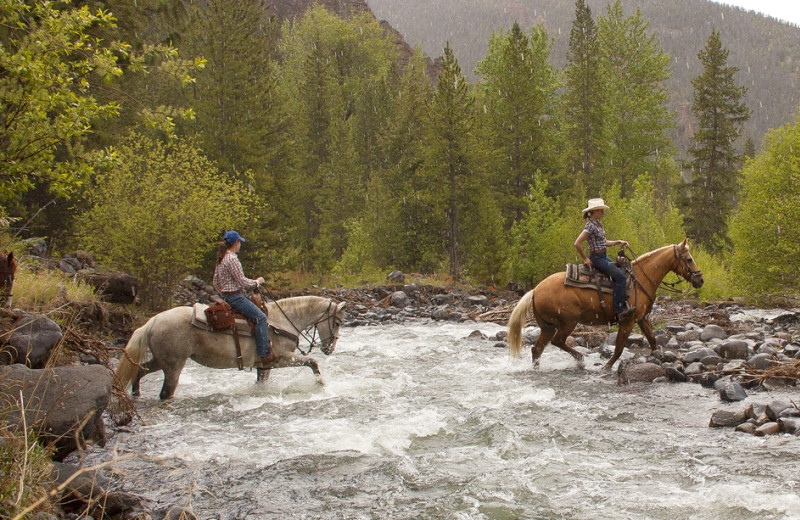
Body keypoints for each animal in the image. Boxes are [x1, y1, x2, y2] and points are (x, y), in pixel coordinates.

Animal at [115, 294, 344, 400]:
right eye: (338, 322)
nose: (329, 349)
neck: (281, 322)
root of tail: (153, 321)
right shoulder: (281, 358)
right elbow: (312, 363)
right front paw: (322, 385)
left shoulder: (264, 367)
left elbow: (260, 384)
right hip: (173, 366)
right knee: (165, 392)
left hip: (160, 361)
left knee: (140, 371)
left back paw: (136, 395)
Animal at [510, 240, 704, 370]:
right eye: (688, 259)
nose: (700, 280)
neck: (641, 279)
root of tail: (535, 290)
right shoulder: (628, 320)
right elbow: (619, 347)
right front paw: (607, 366)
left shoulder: (642, 318)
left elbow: (653, 340)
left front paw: (658, 359)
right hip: (568, 322)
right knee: (557, 341)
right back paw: (580, 359)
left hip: (547, 326)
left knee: (537, 349)